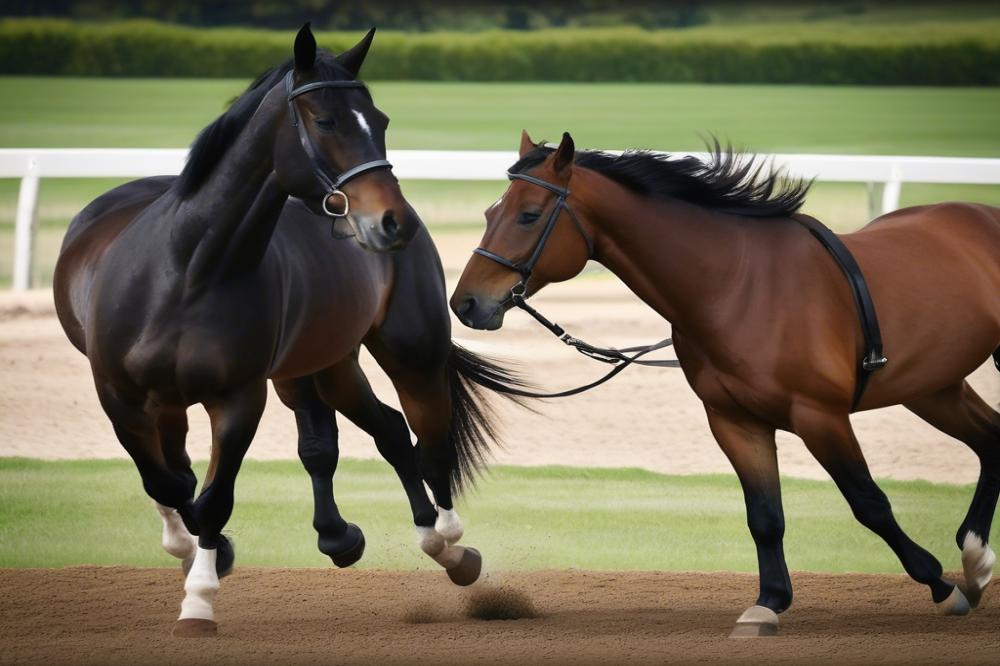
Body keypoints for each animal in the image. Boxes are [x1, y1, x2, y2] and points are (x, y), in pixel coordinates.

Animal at [54, 26, 524, 636]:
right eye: (326, 121)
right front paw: (201, 557)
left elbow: (215, 497)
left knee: (422, 440)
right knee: (376, 433)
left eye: (381, 119)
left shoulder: (239, 397)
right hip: (318, 367)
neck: (185, 271)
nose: (393, 222)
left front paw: (199, 597)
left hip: (405, 354)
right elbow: (169, 483)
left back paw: (446, 545)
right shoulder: (120, 395)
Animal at [452, 128, 1000, 632]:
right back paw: (975, 559)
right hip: (933, 388)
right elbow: (765, 516)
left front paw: (941, 586)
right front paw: (769, 602)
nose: (466, 303)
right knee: (990, 440)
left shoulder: (820, 416)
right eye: (489, 213)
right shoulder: (735, 421)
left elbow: (870, 503)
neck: (738, 287)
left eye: (529, 214)